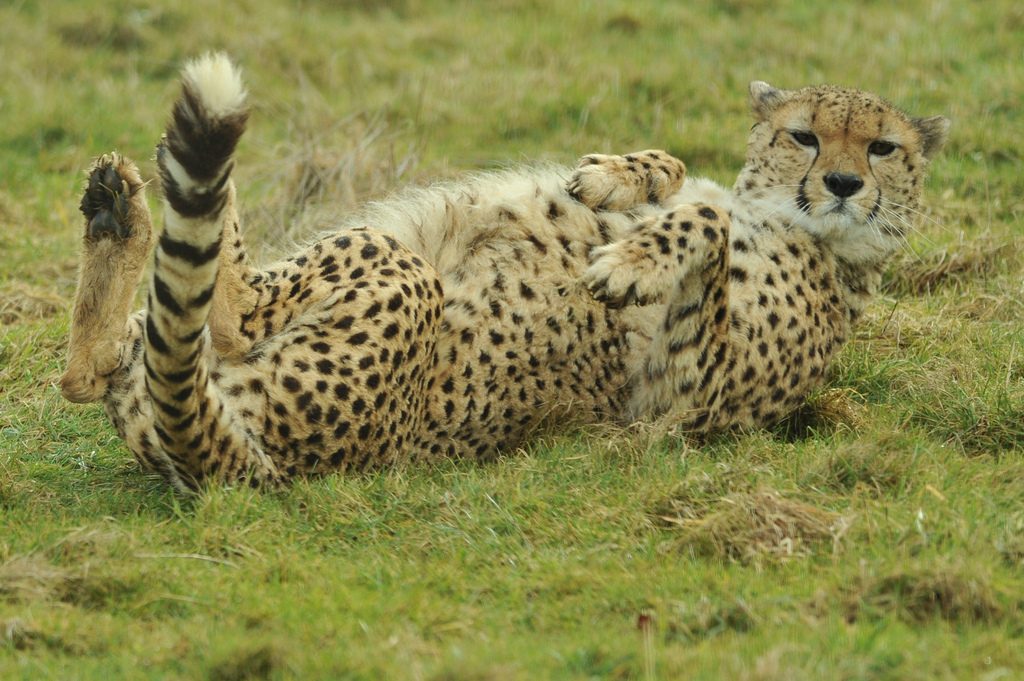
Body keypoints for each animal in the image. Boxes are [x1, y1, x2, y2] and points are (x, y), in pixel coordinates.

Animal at [61, 53, 942, 489]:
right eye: (804, 135)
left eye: (881, 147)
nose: (843, 184)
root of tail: (229, 461)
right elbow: (685, 178)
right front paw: (617, 177)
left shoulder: (683, 398)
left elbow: (710, 222)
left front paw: (628, 258)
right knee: (95, 366)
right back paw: (118, 211)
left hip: (400, 274)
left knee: (226, 310)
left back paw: (160, 197)